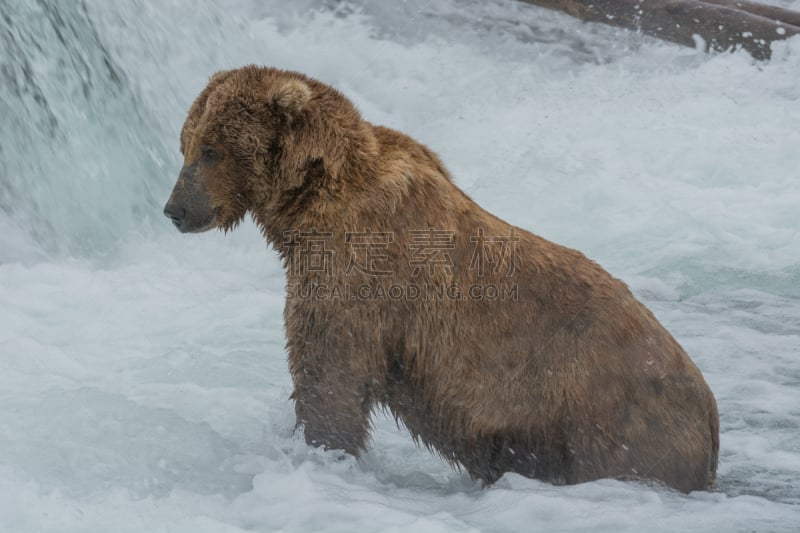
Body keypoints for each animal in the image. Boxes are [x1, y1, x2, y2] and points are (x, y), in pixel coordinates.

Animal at [162, 64, 720, 492]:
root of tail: (711, 420)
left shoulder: (359, 269)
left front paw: (319, 451)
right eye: (185, 143)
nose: (174, 209)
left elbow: (330, 371)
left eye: (211, 149)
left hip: (609, 421)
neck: (310, 203)